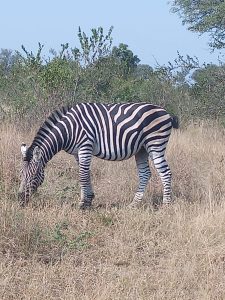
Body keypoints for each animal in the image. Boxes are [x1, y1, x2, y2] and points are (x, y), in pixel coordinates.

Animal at [18, 103, 179, 209]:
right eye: (21, 175)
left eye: (34, 176)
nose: (20, 200)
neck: (68, 130)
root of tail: (166, 112)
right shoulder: (78, 152)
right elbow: (85, 174)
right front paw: (88, 200)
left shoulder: (85, 146)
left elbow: (82, 176)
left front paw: (83, 204)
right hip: (142, 150)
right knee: (145, 174)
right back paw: (133, 204)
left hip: (155, 144)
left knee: (165, 173)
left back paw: (166, 205)